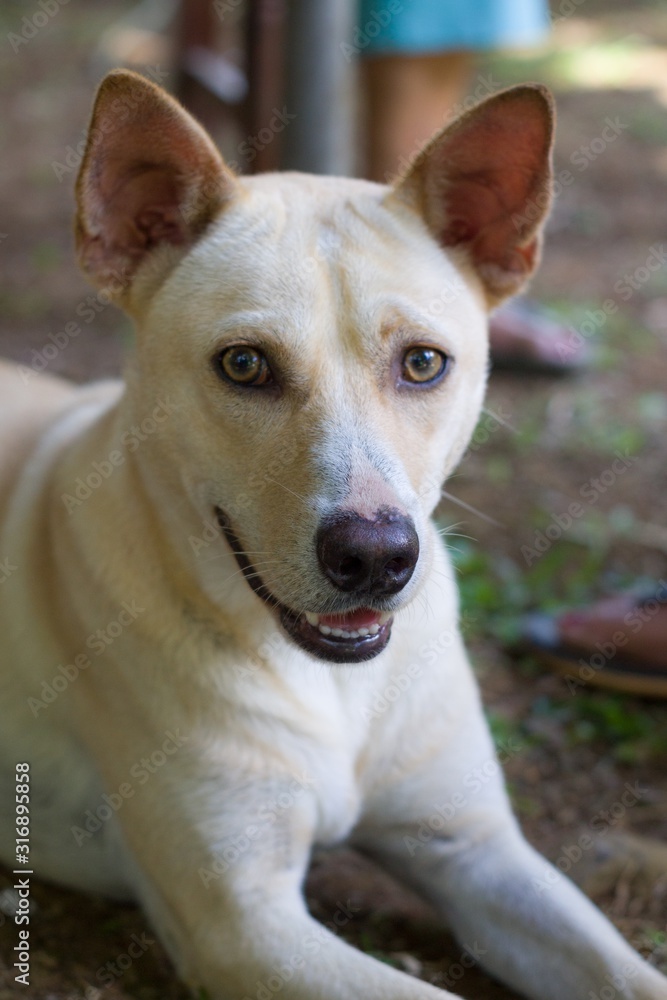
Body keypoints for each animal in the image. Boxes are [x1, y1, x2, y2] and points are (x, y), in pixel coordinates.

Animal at [1, 70, 667, 1000]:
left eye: (422, 363)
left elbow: (627, 972)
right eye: (244, 365)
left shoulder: (477, 851)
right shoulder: (245, 925)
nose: (376, 557)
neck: (333, 688)